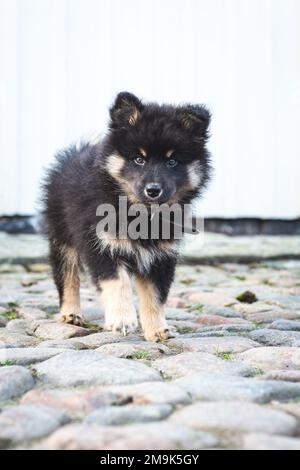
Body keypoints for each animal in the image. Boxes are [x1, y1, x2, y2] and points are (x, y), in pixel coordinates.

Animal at [41, 92, 211, 342]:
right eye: (139, 159)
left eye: (172, 162)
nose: (153, 190)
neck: (140, 214)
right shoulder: (103, 245)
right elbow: (117, 283)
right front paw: (122, 320)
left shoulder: (161, 256)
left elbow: (155, 296)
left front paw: (157, 329)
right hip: (62, 236)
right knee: (67, 276)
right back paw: (70, 314)